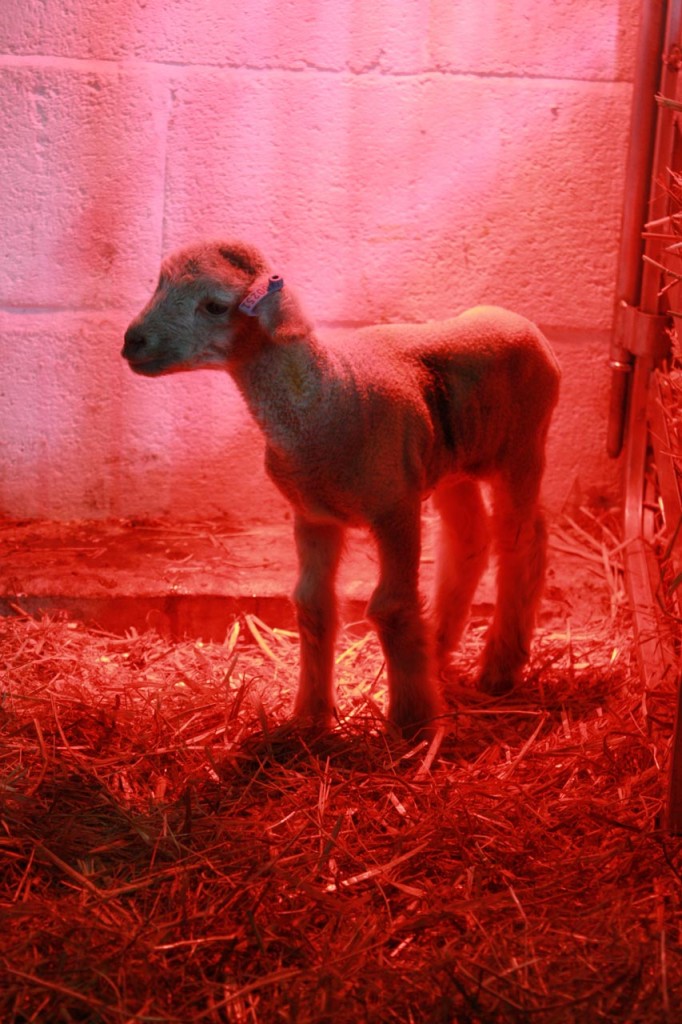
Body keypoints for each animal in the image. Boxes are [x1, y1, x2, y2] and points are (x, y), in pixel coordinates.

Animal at [122, 239, 557, 737]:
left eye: (215, 305)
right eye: (159, 284)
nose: (131, 341)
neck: (329, 394)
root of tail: (520, 320)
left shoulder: (395, 509)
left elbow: (391, 607)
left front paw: (411, 724)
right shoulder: (313, 514)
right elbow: (313, 607)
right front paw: (310, 716)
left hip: (523, 449)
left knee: (522, 542)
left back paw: (500, 668)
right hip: (452, 466)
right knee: (470, 539)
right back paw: (439, 649)